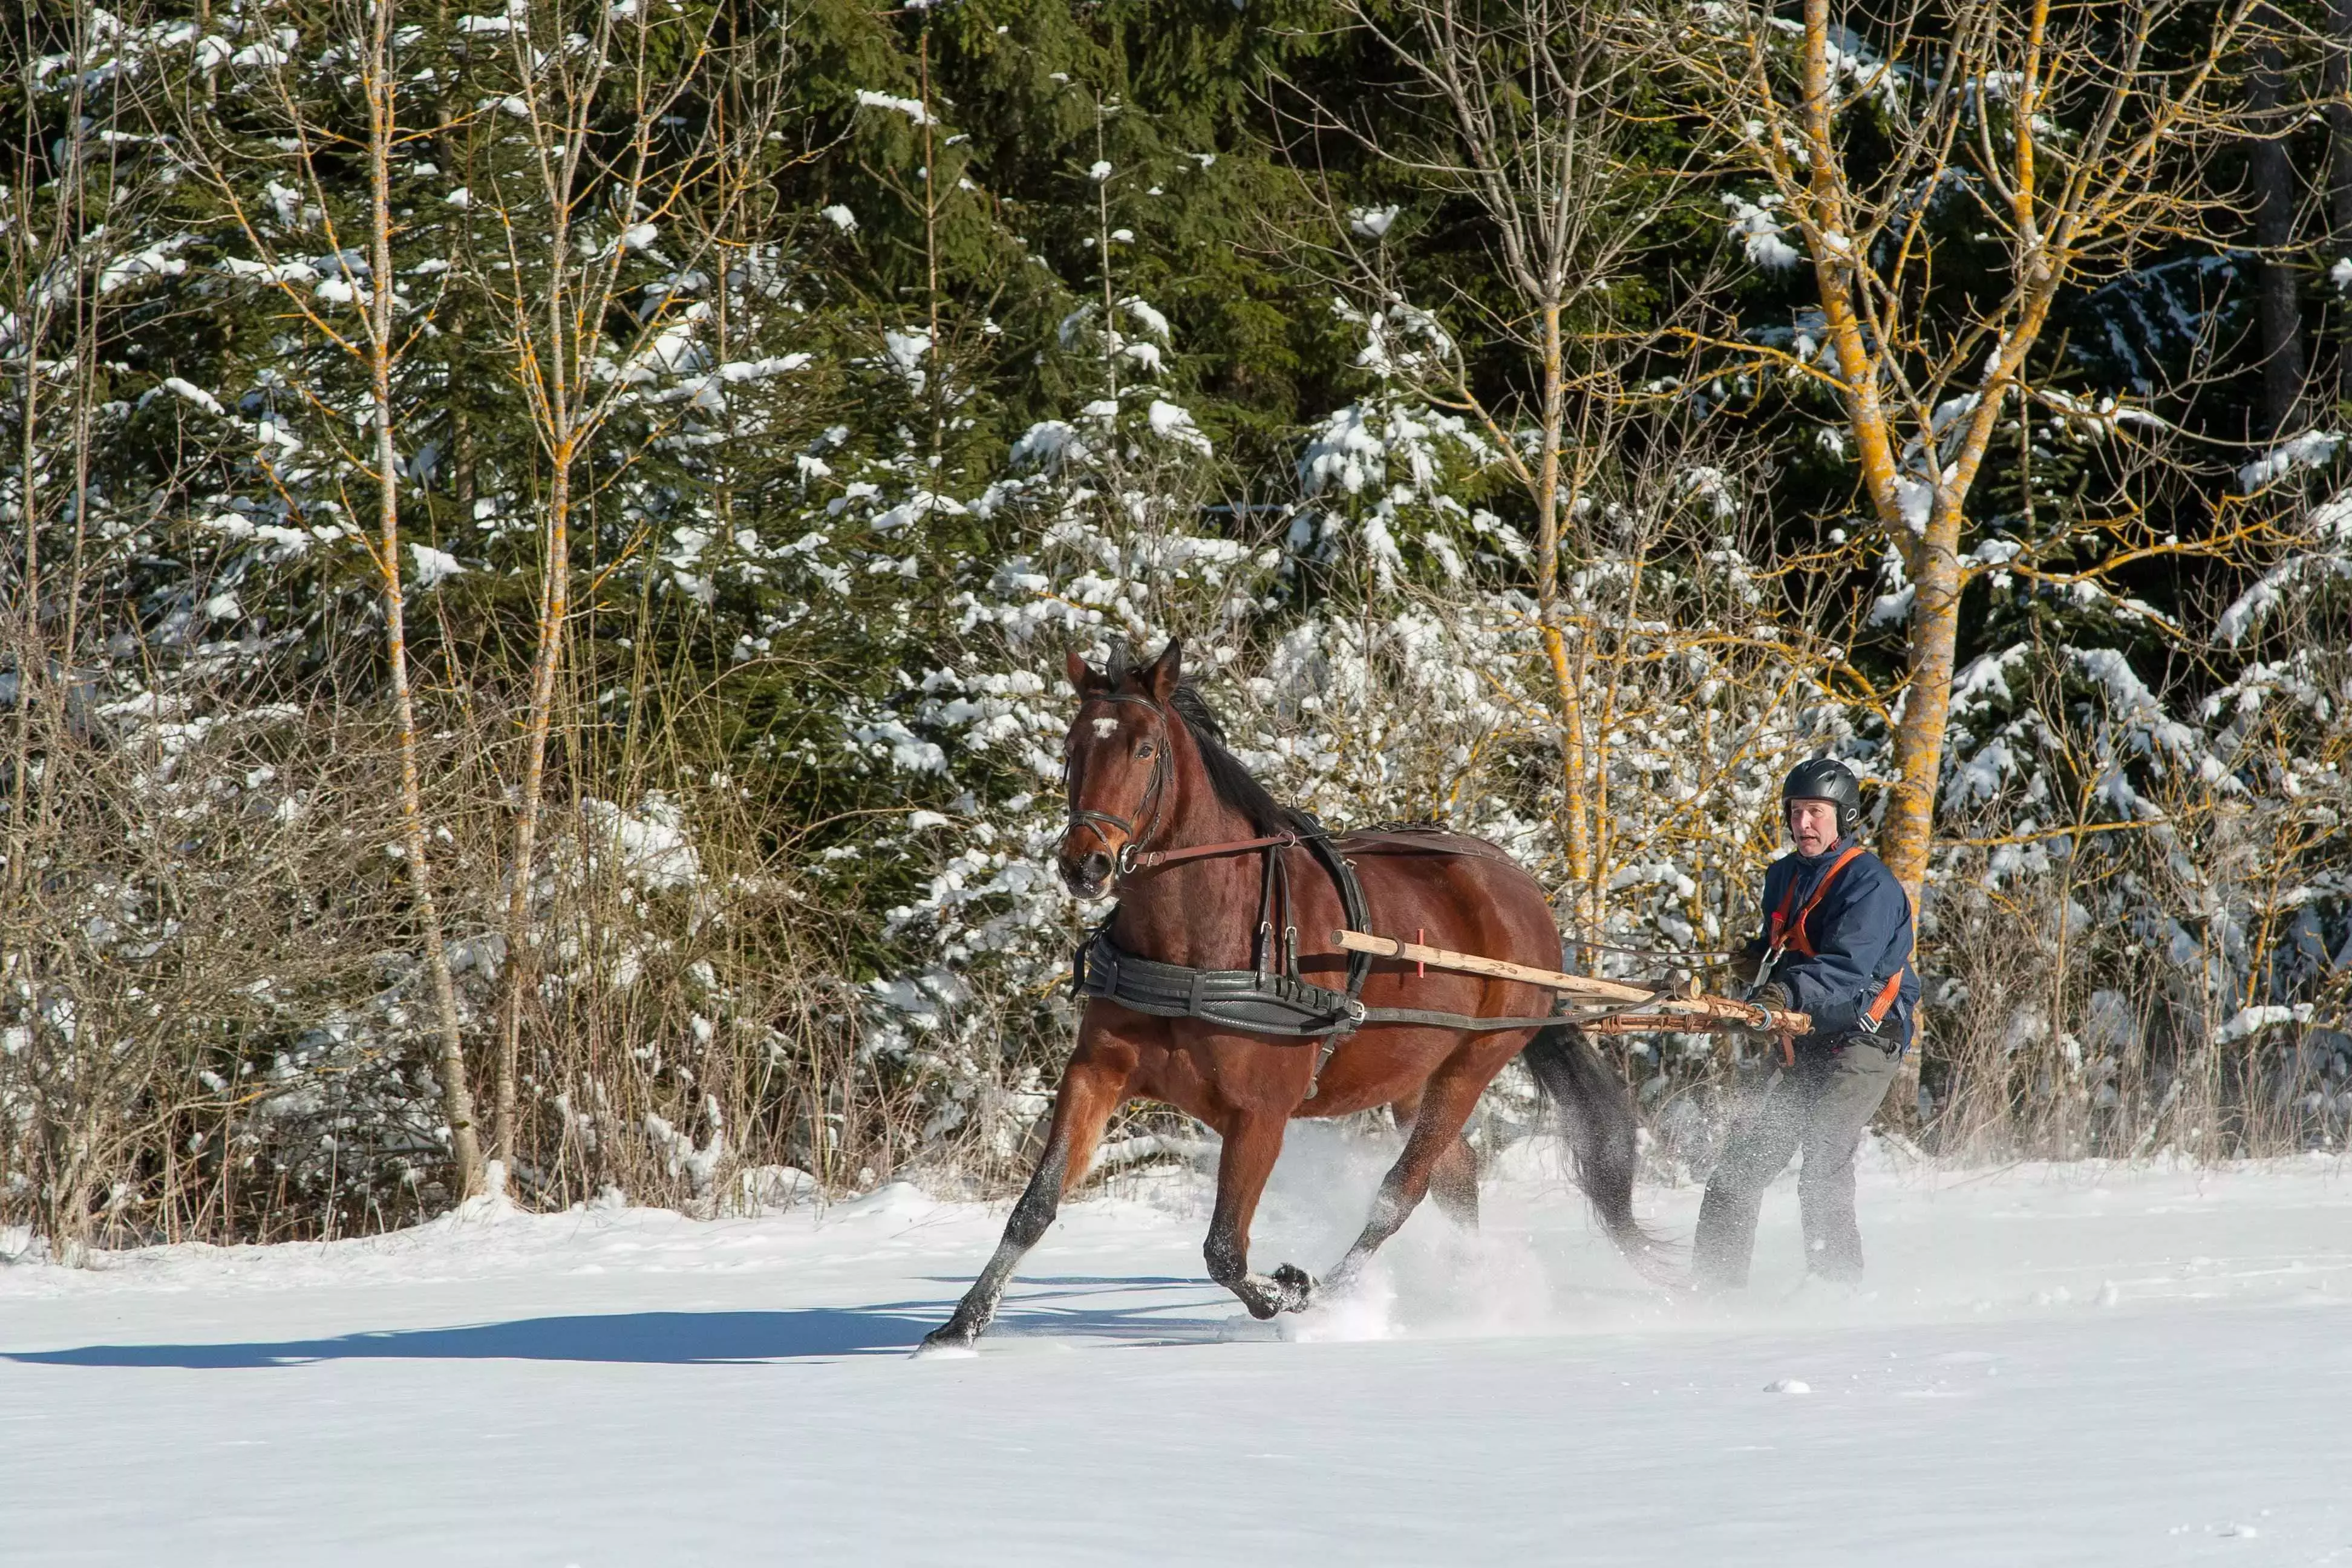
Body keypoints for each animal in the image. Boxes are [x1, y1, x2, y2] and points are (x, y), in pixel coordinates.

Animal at [919, 639, 1658, 1352]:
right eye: (1073, 746)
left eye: (1145, 748)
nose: (1085, 863)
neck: (1200, 943)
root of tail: (1524, 893)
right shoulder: (1095, 1073)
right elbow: (1035, 1206)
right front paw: (962, 1326)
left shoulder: (1261, 1113)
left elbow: (1224, 1249)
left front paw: (1290, 1291)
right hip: (1413, 1076)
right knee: (1455, 1177)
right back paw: (1470, 1291)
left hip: (1472, 1065)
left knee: (1402, 1192)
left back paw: (1338, 1292)